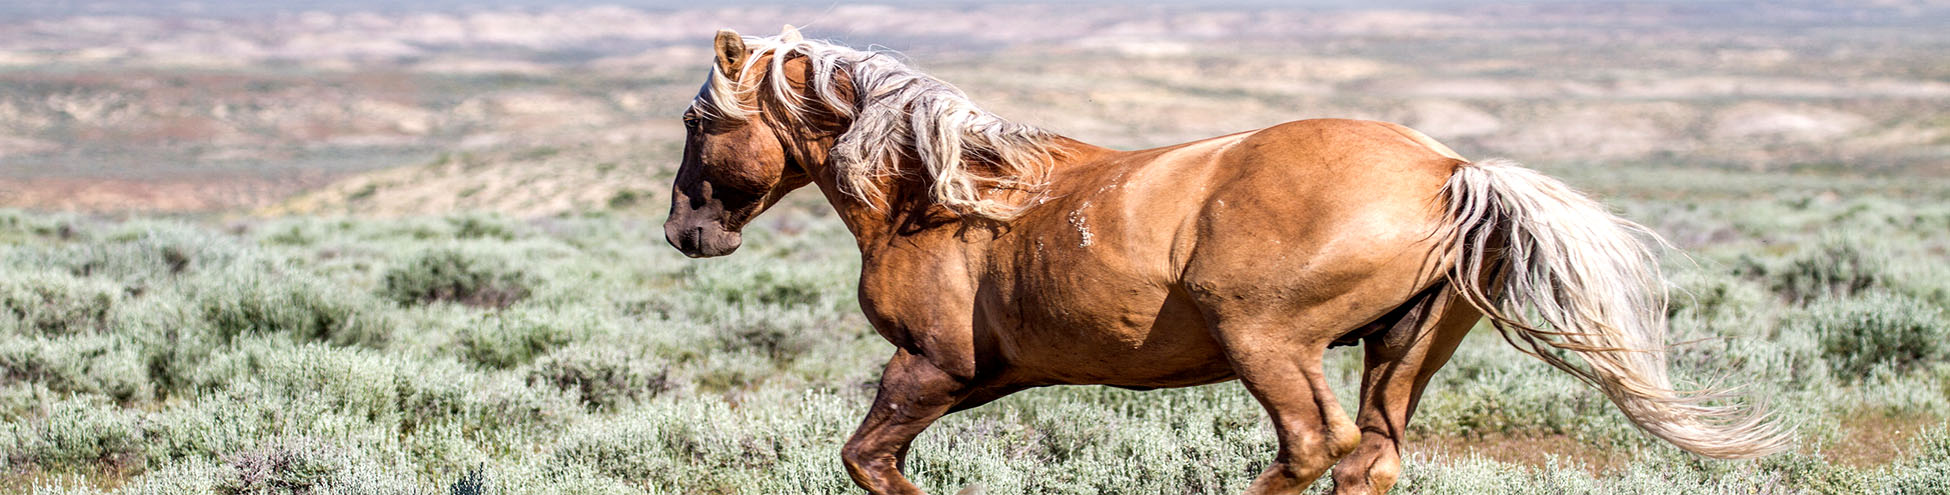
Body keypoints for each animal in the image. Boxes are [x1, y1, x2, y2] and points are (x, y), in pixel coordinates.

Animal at [663, 28, 1786, 495]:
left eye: (694, 120)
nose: (686, 235)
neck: (941, 198)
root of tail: (1448, 170)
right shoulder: (986, 378)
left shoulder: (928, 367)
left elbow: (869, 461)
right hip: (1401, 351)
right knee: (1370, 457)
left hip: (1272, 344)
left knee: (1315, 446)